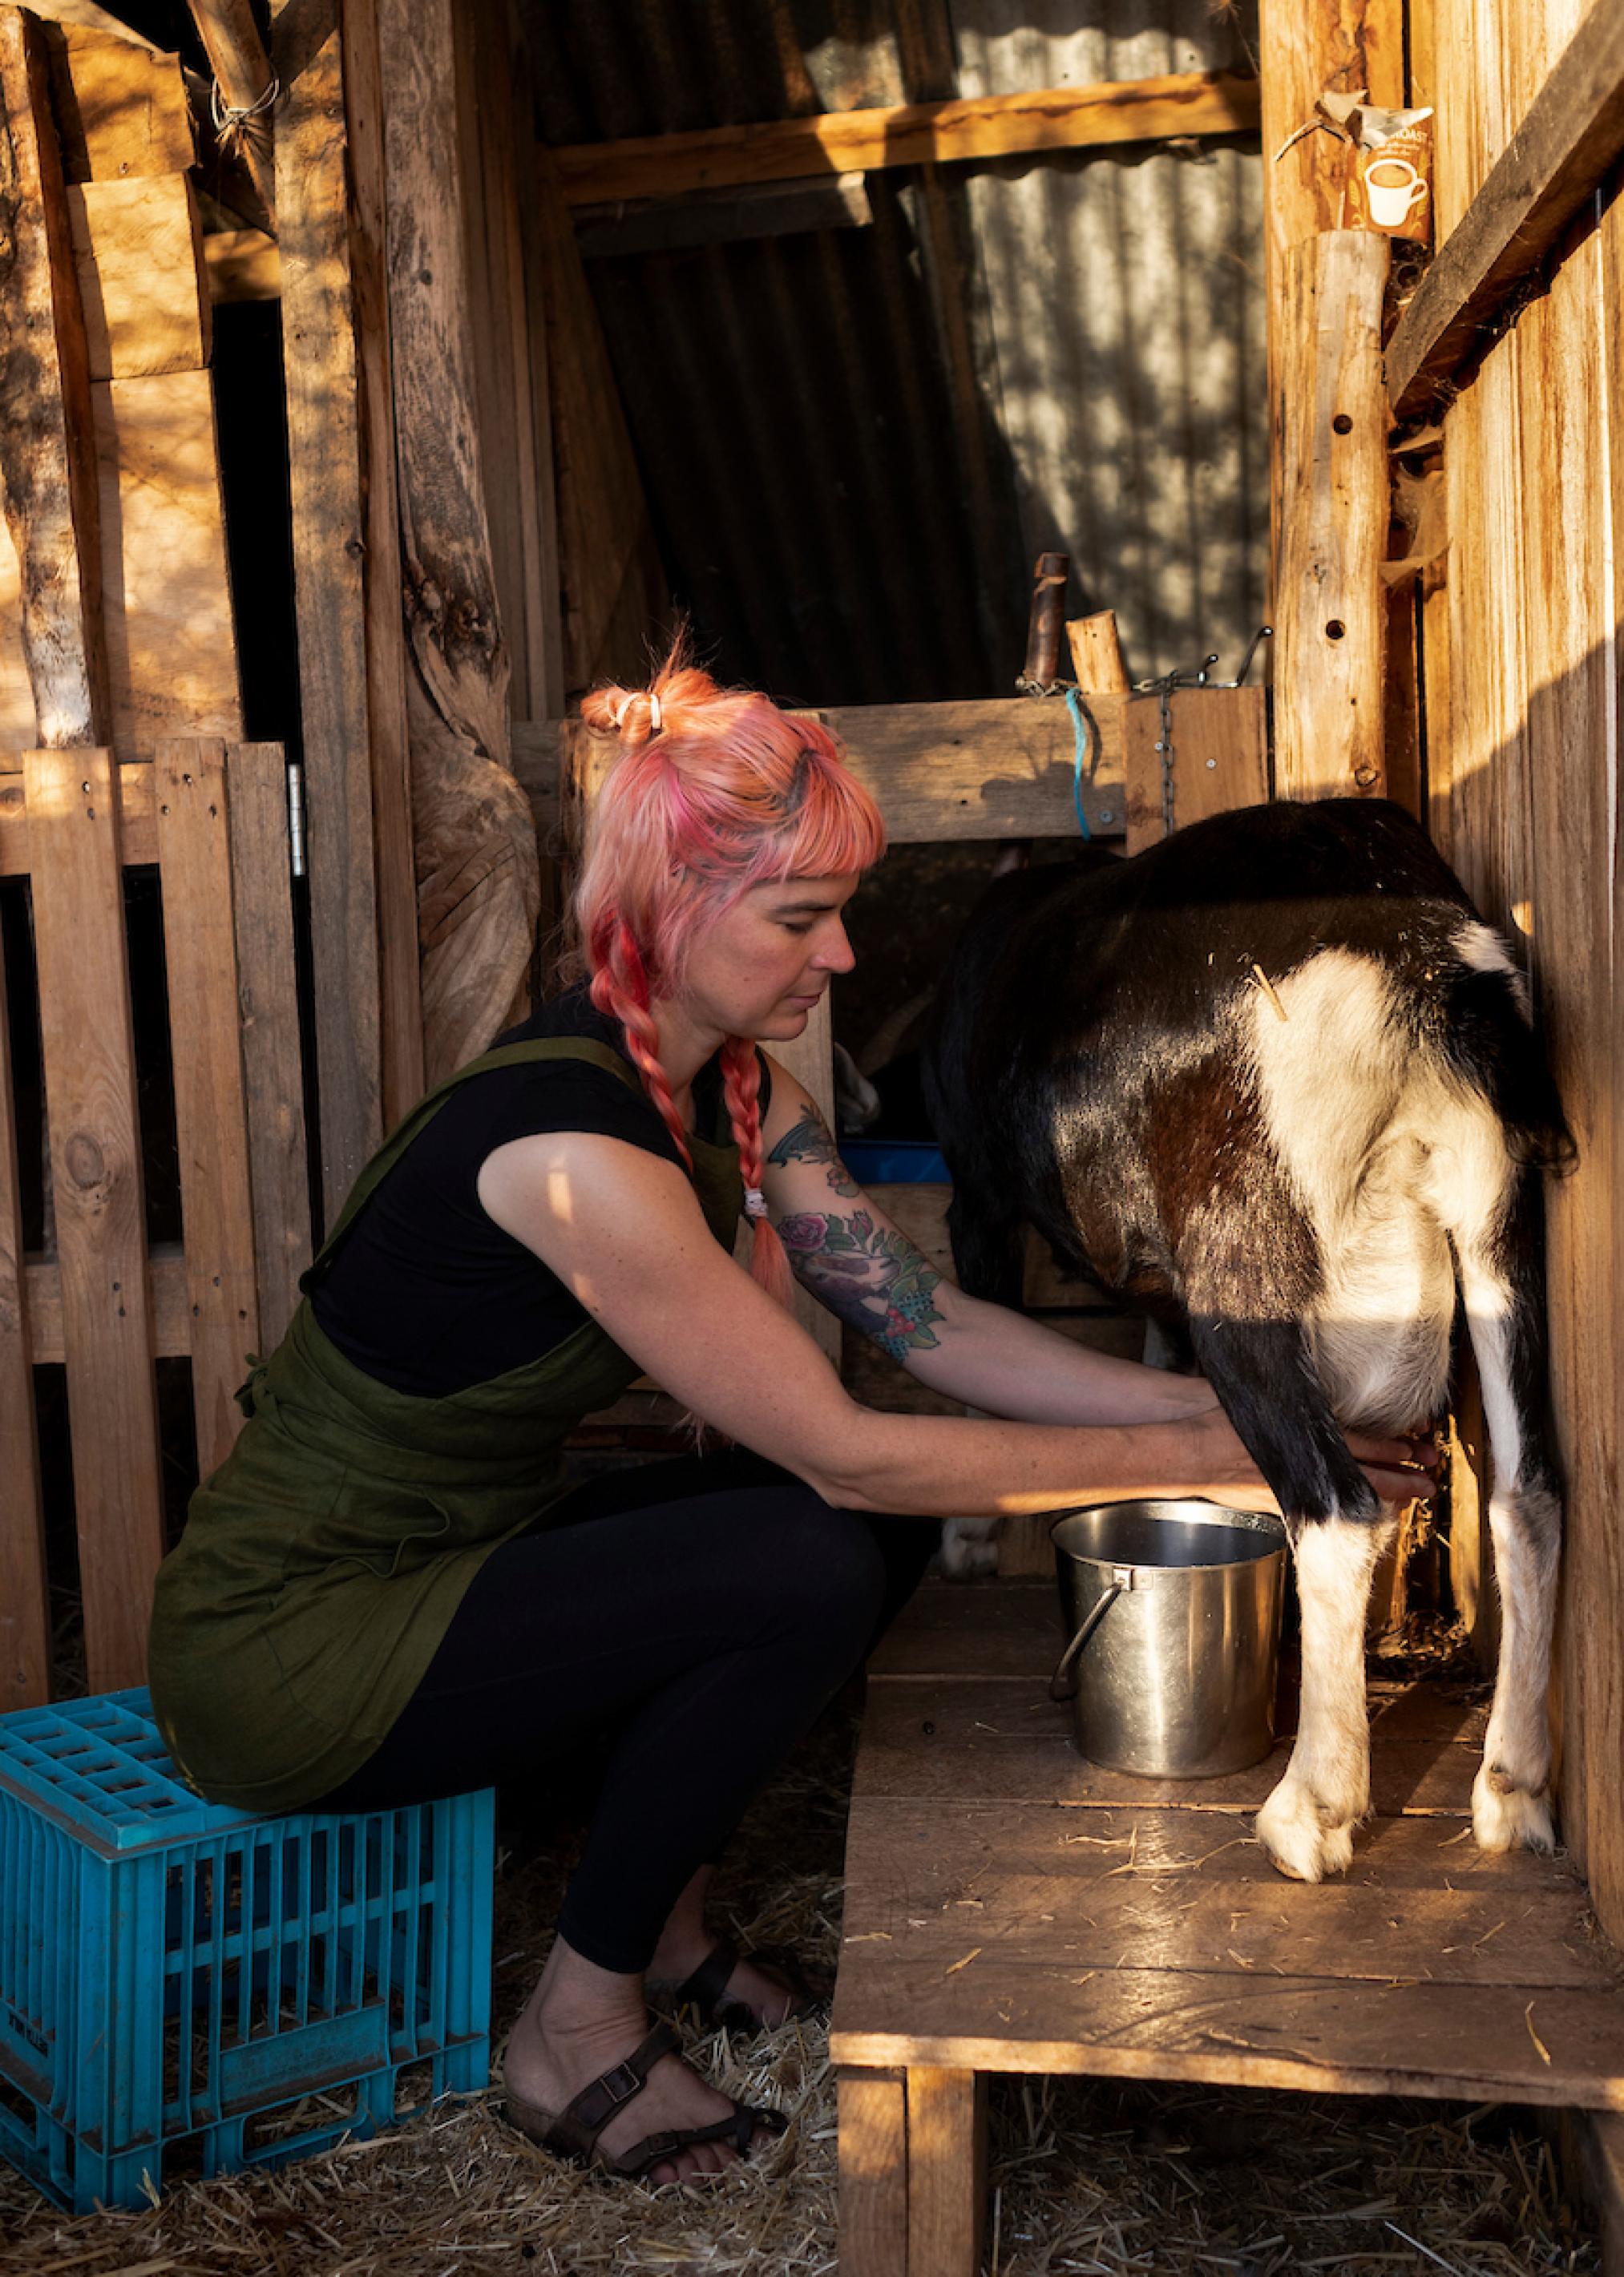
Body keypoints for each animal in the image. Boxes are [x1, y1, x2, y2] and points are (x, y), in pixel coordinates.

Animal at [924, 801, 1566, 1885]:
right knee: (1530, 1490)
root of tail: (1416, 958)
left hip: (1244, 1250)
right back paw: (1511, 1791)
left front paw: (967, 1539)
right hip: (1498, 1217)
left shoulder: (975, 1192)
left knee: (1338, 1512)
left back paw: (1310, 1813)